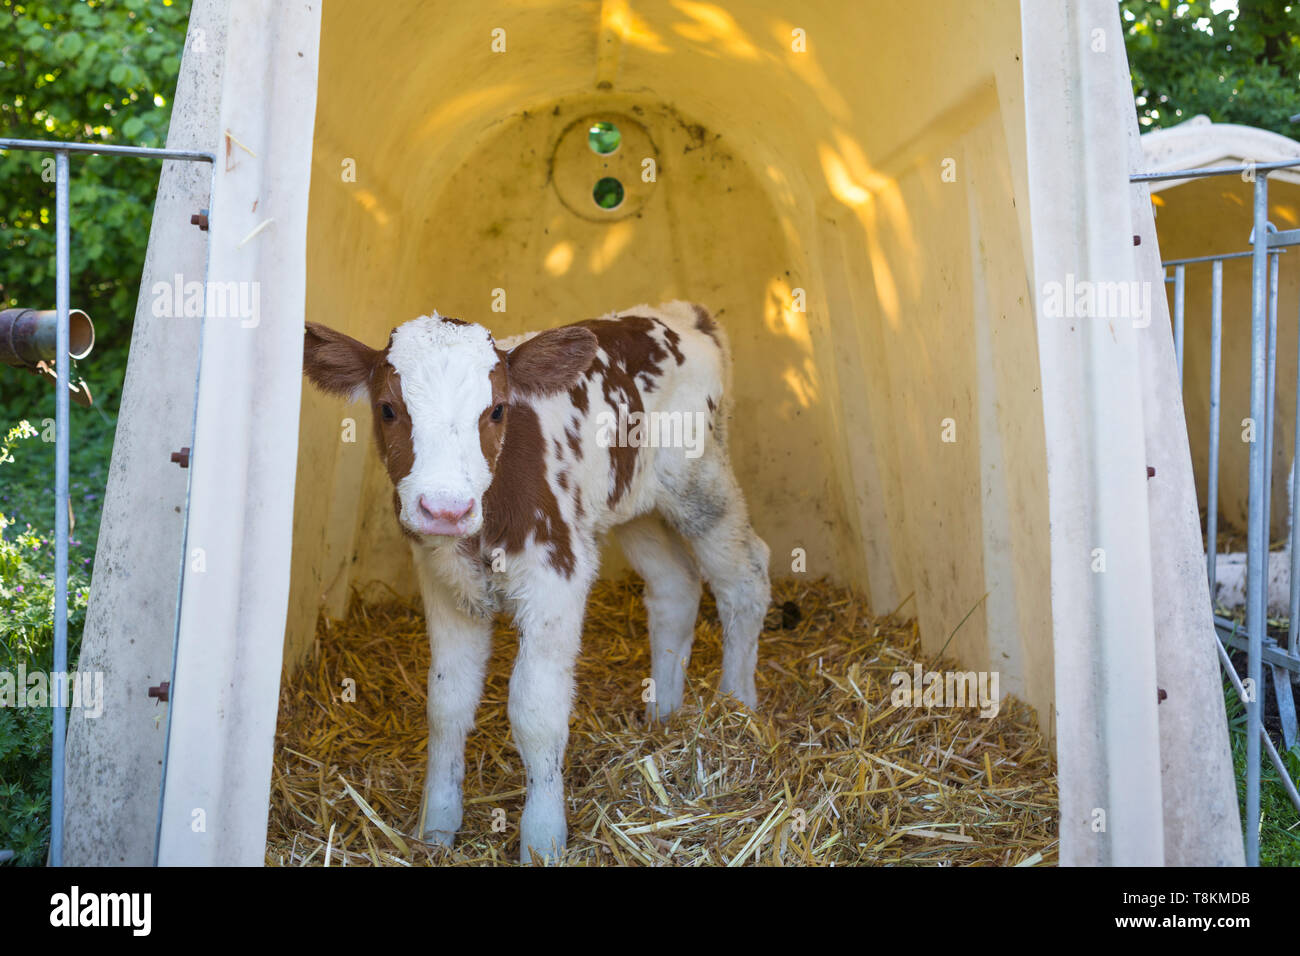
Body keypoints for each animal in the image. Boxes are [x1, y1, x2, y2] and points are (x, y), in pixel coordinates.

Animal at [301, 303, 769, 863]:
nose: (445, 509)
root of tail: (680, 313)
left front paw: (543, 839)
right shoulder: (443, 584)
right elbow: (446, 705)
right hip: (633, 504)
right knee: (675, 586)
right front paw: (435, 830)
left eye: (498, 410)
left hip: (701, 482)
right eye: (388, 409)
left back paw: (736, 709)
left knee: (745, 577)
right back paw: (664, 716)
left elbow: (536, 712)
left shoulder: (557, 576)